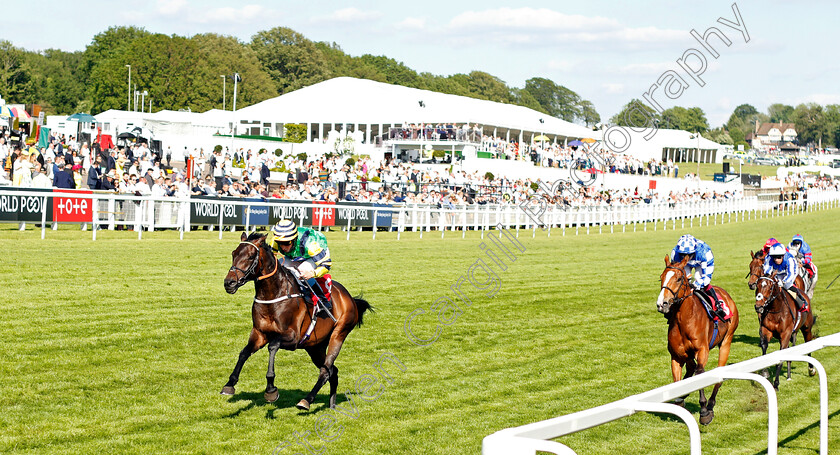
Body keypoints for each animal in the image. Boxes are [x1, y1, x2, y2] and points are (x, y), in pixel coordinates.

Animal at [223, 233, 370, 412]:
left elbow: (273, 346)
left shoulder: (292, 337)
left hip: (339, 333)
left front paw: (271, 389)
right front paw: (230, 383)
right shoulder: (259, 333)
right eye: (233, 253)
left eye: (251, 256)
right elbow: (244, 353)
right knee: (332, 371)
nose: (229, 283)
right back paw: (332, 404)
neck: (273, 295)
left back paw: (306, 400)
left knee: (325, 370)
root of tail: (350, 298)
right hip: (315, 346)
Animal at [652, 255, 740, 426]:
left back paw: (710, 405)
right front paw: (680, 399)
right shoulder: (677, 356)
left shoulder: (702, 350)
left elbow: (700, 373)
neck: (685, 320)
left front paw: (704, 411)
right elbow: (680, 379)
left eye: (679, 279)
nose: (662, 304)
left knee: (718, 376)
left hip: (726, 342)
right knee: (691, 368)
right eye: (661, 277)